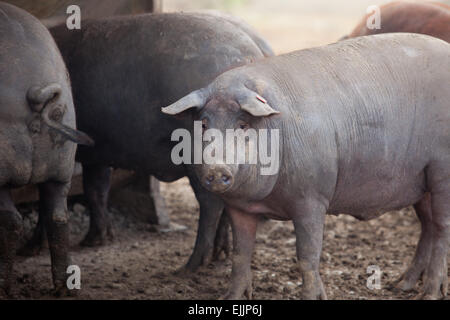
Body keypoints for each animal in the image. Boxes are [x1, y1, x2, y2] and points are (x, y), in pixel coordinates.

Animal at [0, 1, 92, 296]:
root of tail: (36, 91)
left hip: (2, 166)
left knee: (11, 220)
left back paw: (4, 289)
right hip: (62, 163)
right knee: (58, 216)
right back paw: (65, 289)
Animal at [24, 12, 274, 272]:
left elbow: (47, 201)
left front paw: (31, 248)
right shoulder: (98, 153)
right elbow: (96, 189)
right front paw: (97, 240)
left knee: (210, 204)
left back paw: (189, 267)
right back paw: (219, 255)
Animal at [163, 33, 450, 298]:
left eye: (243, 125)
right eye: (203, 123)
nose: (217, 170)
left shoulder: (312, 197)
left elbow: (307, 254)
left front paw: (313, 296)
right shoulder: (239, 207)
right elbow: (241, 253)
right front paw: (232, 297)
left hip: (441, 172)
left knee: (441, 229)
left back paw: (429, 293)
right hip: (421, 183)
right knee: (427, 227)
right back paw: (401, 285)